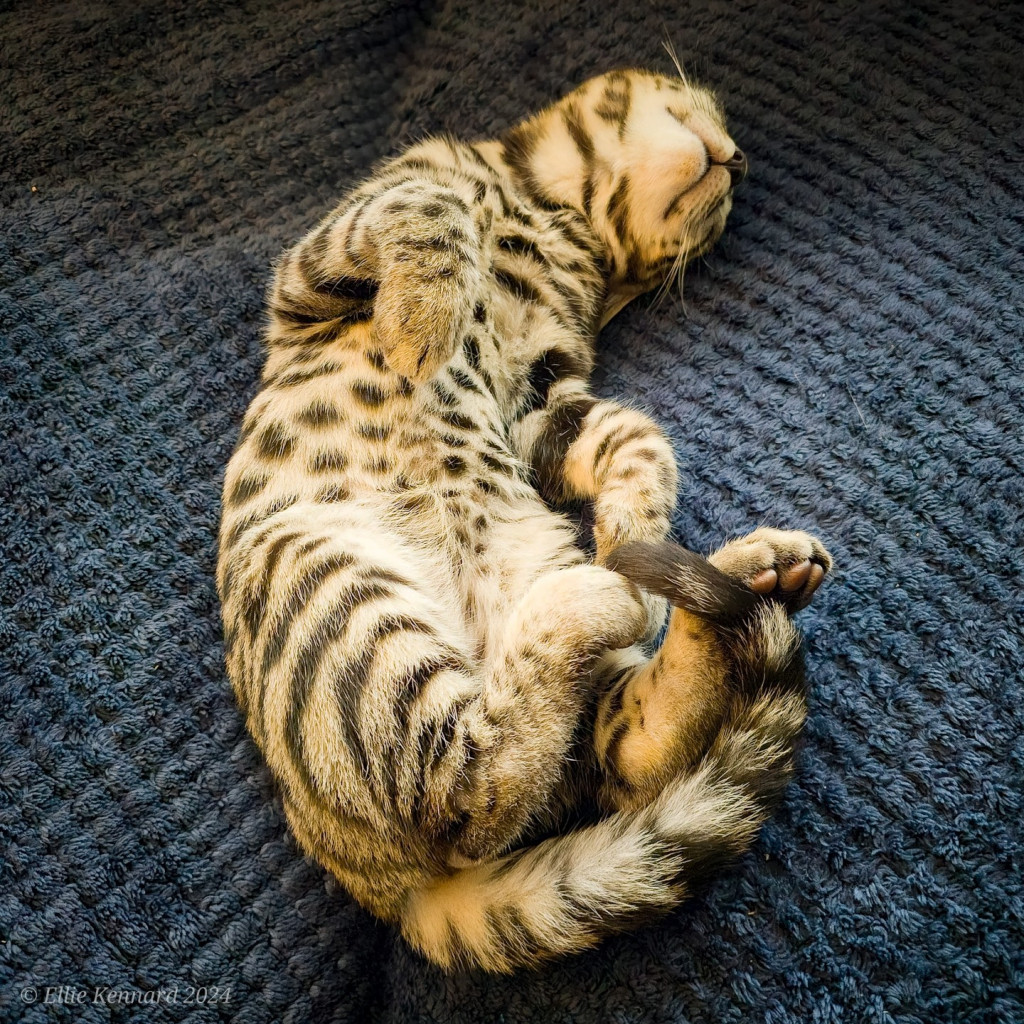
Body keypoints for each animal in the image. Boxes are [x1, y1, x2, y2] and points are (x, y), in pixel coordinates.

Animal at [216, 70, 831, 966]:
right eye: (703, 105)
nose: (740, 160)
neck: (553, 209)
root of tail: (391, 897)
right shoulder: (316, 267)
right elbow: (428, 206)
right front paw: (423, 317)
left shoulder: (540, 398)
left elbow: (634, 434)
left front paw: (635, 525)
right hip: (325, 573)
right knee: (474, 792)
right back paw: (635, 590)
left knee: (591, 759)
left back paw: (732, 577)